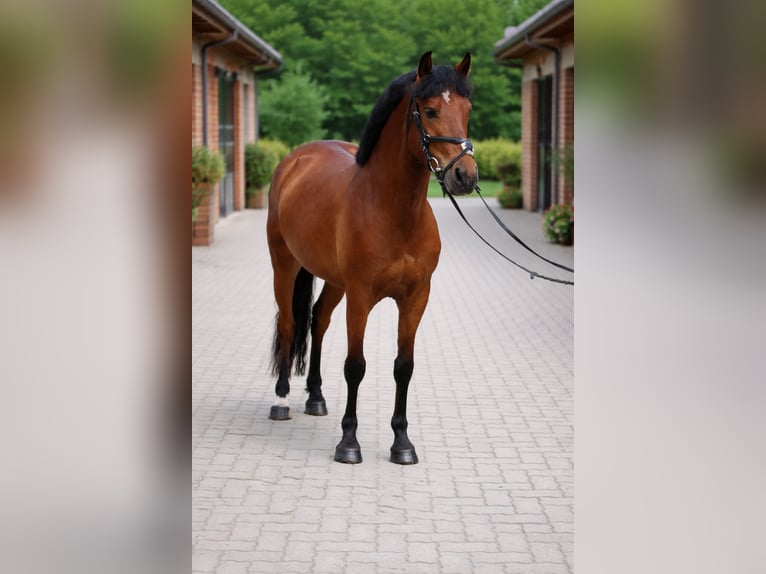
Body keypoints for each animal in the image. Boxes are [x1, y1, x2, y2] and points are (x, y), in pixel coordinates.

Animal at [266, 52, 478, 464]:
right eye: (430, 110)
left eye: (467, 109)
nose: (465, 176)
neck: (394, 212)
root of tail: (295, 160)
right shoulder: (361, 295)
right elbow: (355, 366)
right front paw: (349, 443)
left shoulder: (416, 298)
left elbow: (404, 367)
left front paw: (402, 443)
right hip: (284, 265)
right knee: (289, 323)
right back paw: (281, 400)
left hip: (334, 281)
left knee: (318, 320)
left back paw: (315, 397)